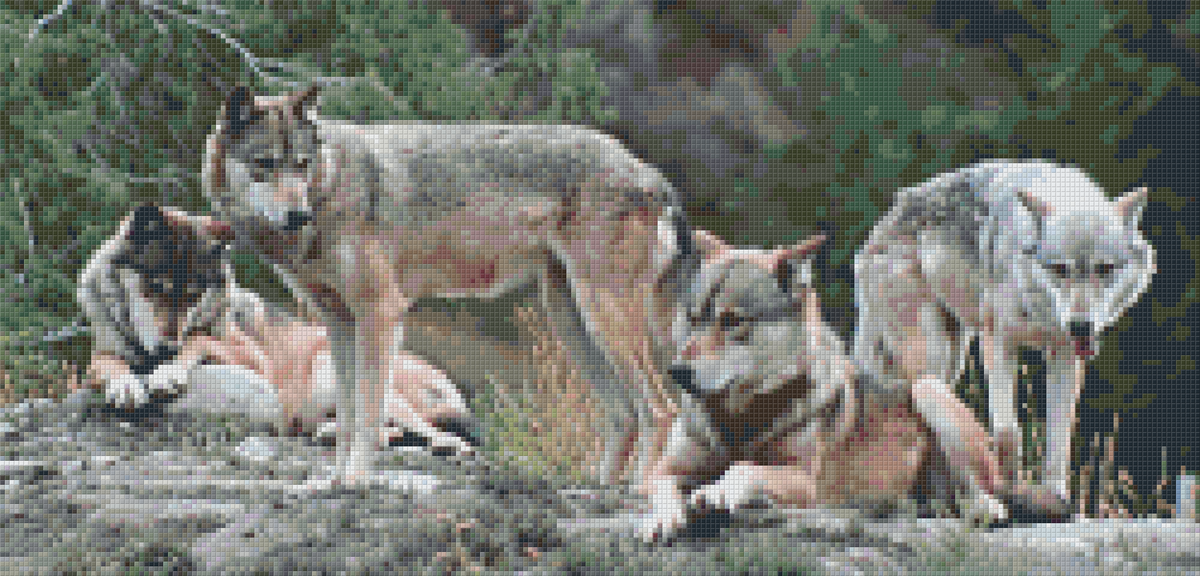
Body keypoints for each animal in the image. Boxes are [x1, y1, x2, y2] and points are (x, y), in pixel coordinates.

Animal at [77, 204, 478, 450]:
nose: (165, 349)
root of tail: (452, 387)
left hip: (333, 369)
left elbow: (200, 338)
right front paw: (126, 384)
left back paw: (443, 445)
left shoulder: (254, 360)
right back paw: (333, 433)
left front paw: (167, 373)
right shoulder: (101, 355)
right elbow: (105, 365)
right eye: (156, 286)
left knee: (435, 434)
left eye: (193, 294)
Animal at [201, 86, 714, 489]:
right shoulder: (338, 323)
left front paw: (357, 481)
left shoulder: (381, 314)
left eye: (302, 165)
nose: (297, 215)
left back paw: (638, 494)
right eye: (265, 164)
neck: (331, 189)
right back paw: (597, 488)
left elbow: (367, 415)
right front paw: (334, 482)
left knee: (660, 408)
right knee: (625, 413)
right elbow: (346, 418)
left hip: (601, 316)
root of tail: (647, 169)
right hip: (570, 320)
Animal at [641, 228, 1073, 541]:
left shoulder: (807, 482)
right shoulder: (664, 469)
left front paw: (717, 491)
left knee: (991, 497)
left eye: (732, 321)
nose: (677, 372)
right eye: (694, 318)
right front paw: (661, 519)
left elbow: (745, 468)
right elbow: (660, 488)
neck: (738, 419)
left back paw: (979, 508)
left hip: (928, 388)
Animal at [853, 159, 1155, 503]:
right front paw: (1011, 488)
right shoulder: (998, 343)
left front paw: (1054, 496)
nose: (1080, 325)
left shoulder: (1064, 355)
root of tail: (876, 233)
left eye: (1105, 269)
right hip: (930, 358)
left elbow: (1058, 437)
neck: (1039, 312)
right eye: (1059, 269)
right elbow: (1008, 433)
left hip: (951, 361)